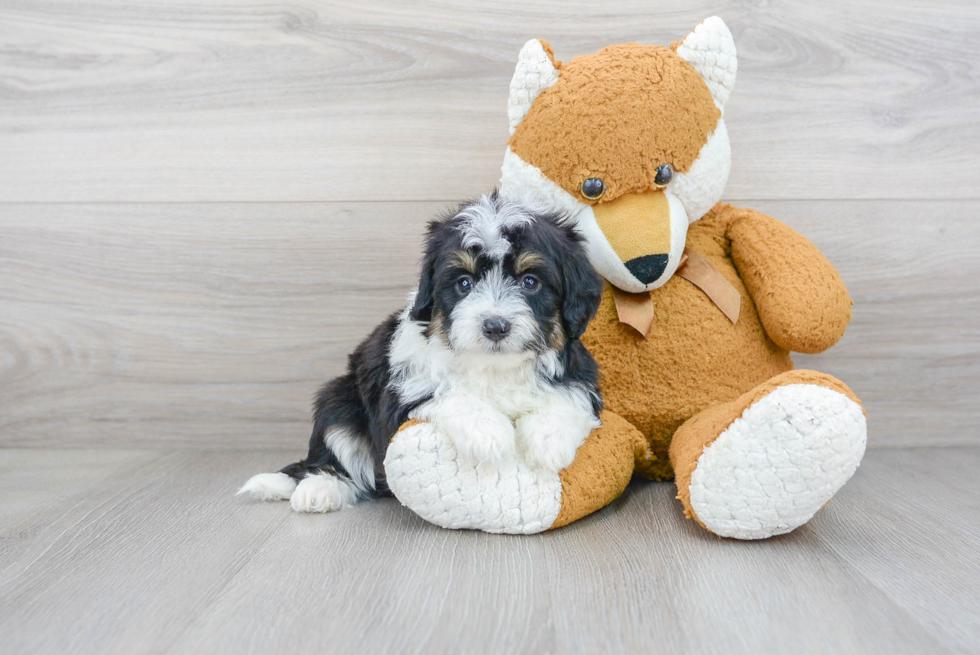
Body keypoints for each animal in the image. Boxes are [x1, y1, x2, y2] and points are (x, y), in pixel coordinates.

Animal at [239, 192, 604, 516]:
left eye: (530, 281)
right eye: (464, 284)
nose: (495, 326)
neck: (493, 367)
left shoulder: (581, 374)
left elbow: (570, 397)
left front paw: (548, 441)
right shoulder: (402, 389)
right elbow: (442, 390)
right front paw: (488, 433)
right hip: (339, 398)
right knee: (333, 454)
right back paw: (318, 489)